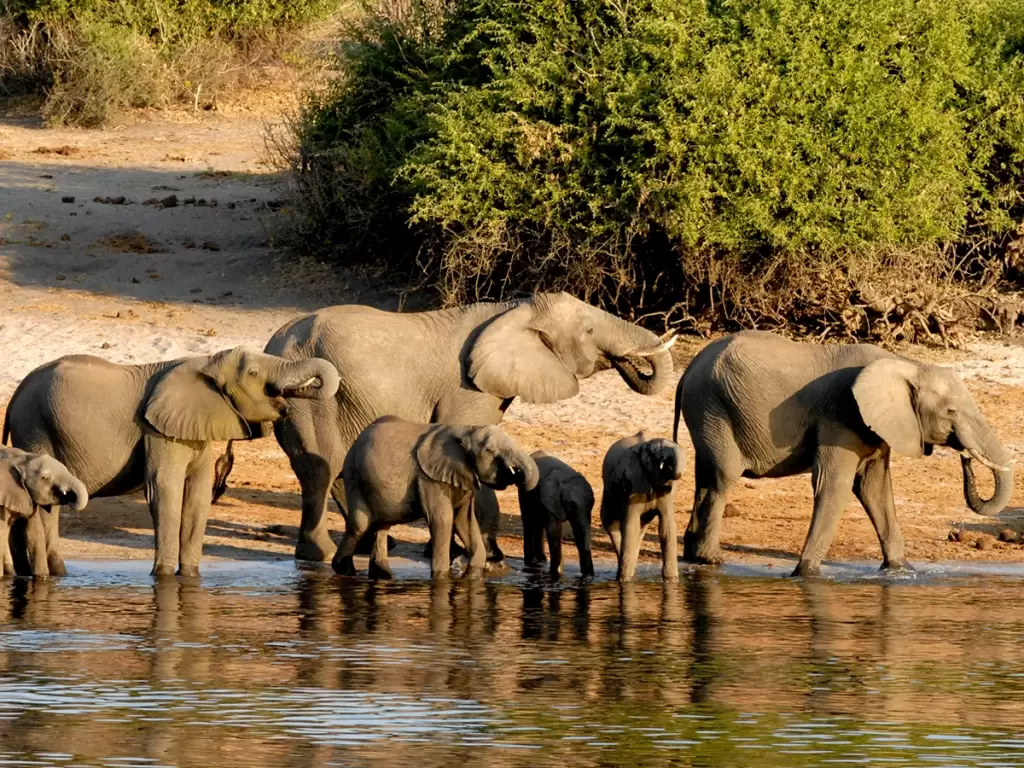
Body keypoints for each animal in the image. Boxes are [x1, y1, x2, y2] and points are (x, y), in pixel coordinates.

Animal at [0, 447, 88, 578]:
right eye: (45, 478)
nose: (69, 496)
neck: (21, 459)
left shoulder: (27, 497)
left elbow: (35, 533)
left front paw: (42, 577)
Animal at [211, 291, 676, 563]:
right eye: (591, 330)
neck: (511, 308)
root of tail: (274, 342)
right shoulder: (468, 388)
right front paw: (482, 557)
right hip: (309, 401)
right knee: (319, 469)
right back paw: (320, 555)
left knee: (336, 470)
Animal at [332, 416, 540, 580]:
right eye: (489, 450)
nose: (515, 473)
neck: (467, 430)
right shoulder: (429, 478)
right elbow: (442, 520)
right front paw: (441, 579)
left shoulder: (463, 477)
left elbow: (465, 522)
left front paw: (472, 576)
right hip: (354, 476)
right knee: (360, 525)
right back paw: (344, 570)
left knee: (381, 525)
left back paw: (383, 576)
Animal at [600, 433, 683, 583]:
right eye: (659, 456)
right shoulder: (634, 483)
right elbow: (630, 525)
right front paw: (625, 580)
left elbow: (667, 527)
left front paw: (672, 581)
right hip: (609, 491)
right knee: (611, 523)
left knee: (641, 527)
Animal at [673, 330, 1014, 577]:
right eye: (951, 411)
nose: (965, 456)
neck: (907, 365)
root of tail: (687, 369)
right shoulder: (841, 415)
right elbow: (834, 485)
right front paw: (805, 574)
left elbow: (874, 489)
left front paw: (901, 570)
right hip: (712, 406)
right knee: (723, 477)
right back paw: (712, 559)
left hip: (708, 411)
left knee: (704, 476)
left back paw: (694, 556)